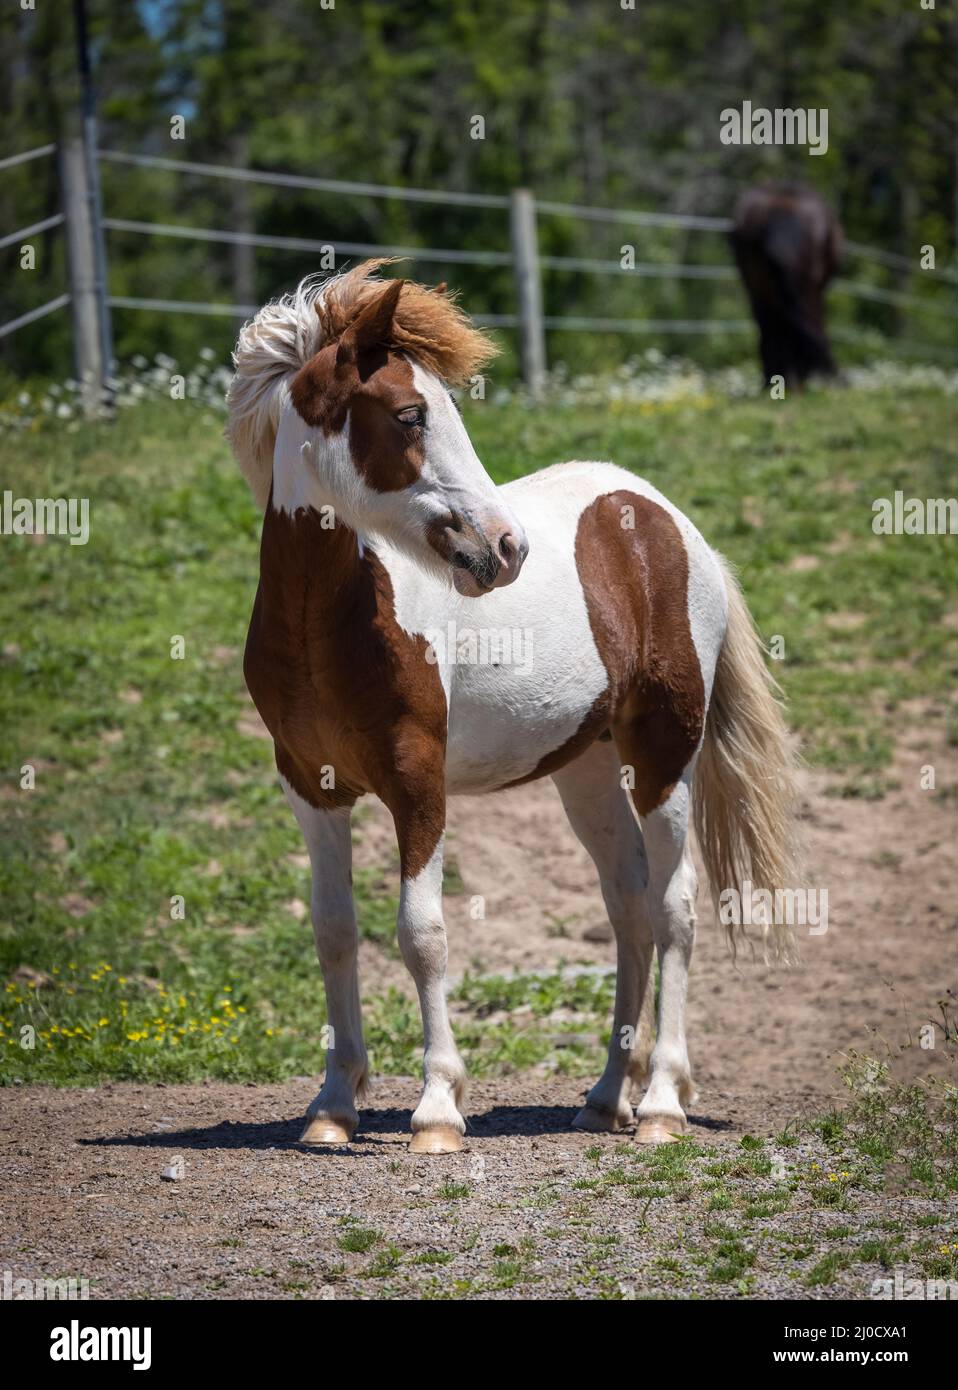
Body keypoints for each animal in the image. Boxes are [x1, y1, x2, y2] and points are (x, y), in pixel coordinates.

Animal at [226, 259, 800, 1153]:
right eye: (410, 415)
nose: (506, 547)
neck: (334, 619)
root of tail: (665, 522)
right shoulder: (310, 786)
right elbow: (334, 932)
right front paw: (332, 1105)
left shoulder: (416, 784)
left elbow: (421, 934)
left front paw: (436, 1109)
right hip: (588, 774)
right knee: (628, 907)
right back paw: (606, 1097)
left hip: (663, 758)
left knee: (673, 910)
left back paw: (661, 1104)